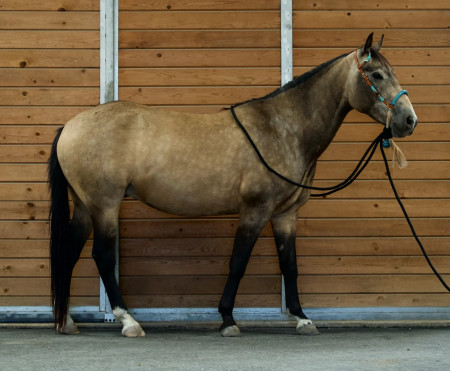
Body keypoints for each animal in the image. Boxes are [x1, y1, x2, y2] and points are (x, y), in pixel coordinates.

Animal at [47, 33, 416, 338]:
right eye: (376, 75)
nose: (409, 121)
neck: (282, 128)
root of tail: (70, 126)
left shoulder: (285, 215)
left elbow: (290, 265)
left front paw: (302, 318)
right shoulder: (255, 210)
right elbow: (238, 263)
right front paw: (227, 319)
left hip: (85, 205)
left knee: (70, 251)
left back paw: (67, 323)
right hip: (104, 205)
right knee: (102, 256)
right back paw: (128, 322)